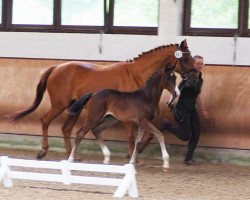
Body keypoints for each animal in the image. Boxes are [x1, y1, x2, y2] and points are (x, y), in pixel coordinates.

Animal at [5, 39, 193, 161]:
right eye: (185, 58)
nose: (192, 78)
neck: (136, 74)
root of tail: (57, 67)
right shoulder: (129, 116)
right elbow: (131, 135)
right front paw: (132, 157)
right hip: (60, 105)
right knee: (45, 120)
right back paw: (43, 152)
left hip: (74, 108)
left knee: (67, 129)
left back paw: (71, 155)